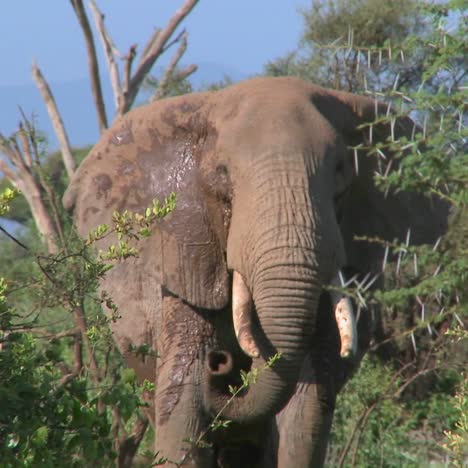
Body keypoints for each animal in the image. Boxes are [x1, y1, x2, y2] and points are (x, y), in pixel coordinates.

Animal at [62, 78, 446, 466]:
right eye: (222, 174)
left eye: (340, 170)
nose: (220, 364)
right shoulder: (188, 254)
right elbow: (182, 396)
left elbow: (305, 406)